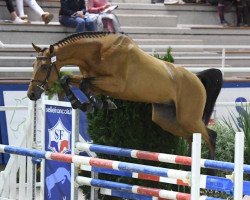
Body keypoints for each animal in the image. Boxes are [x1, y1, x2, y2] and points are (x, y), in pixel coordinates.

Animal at [27, 32, 223, 162]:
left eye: (44, 67)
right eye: (33, 65)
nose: (31, 94)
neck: (98, 52)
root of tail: (197, 78)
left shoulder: (117, 84)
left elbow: (84, 84)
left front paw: (94, 104)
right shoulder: (91, 78)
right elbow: (68, 80)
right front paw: (89, 103)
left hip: (188, 117)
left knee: (211, 136)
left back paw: (212, 174)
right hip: (166, 118)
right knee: (191, 137)